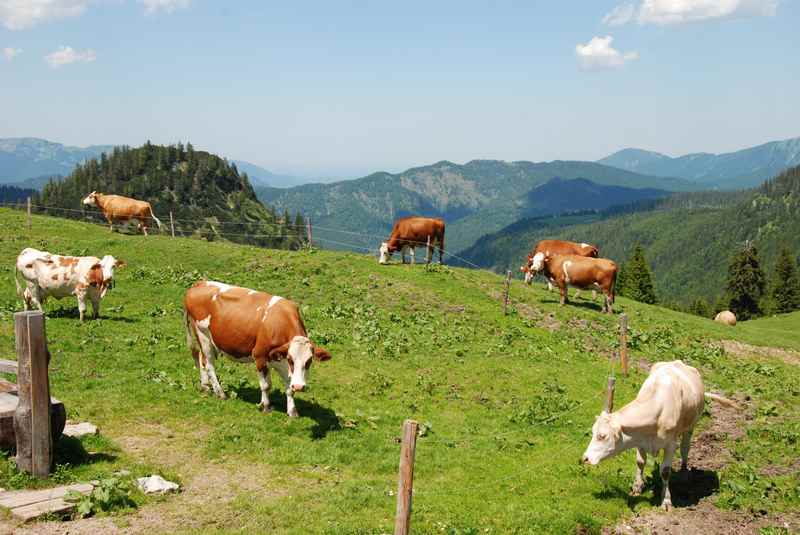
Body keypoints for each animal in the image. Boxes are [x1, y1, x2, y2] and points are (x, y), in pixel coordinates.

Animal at [182, 280, 332, 418]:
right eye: (291, 359)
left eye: (309, 361)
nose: (300, 386)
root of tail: (199, 283)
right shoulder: (260, 356)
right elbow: (266, 385)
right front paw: (265, 406)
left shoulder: (281, 361)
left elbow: (289, 387)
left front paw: (292, 411)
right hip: (203, 335)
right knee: (209, 364)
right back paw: (220, 393)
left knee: (201, 359)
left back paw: (205, 386)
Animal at [580, 360, 736, 510]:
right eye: (593, 432)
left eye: (602, 436)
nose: (585, 458)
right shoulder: (639, 440)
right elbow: (640, 462)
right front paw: (637, 487)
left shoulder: (671, 444)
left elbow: (665, 471)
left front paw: (666, 500)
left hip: (691, 426)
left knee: (685, 448)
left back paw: (684, 472)